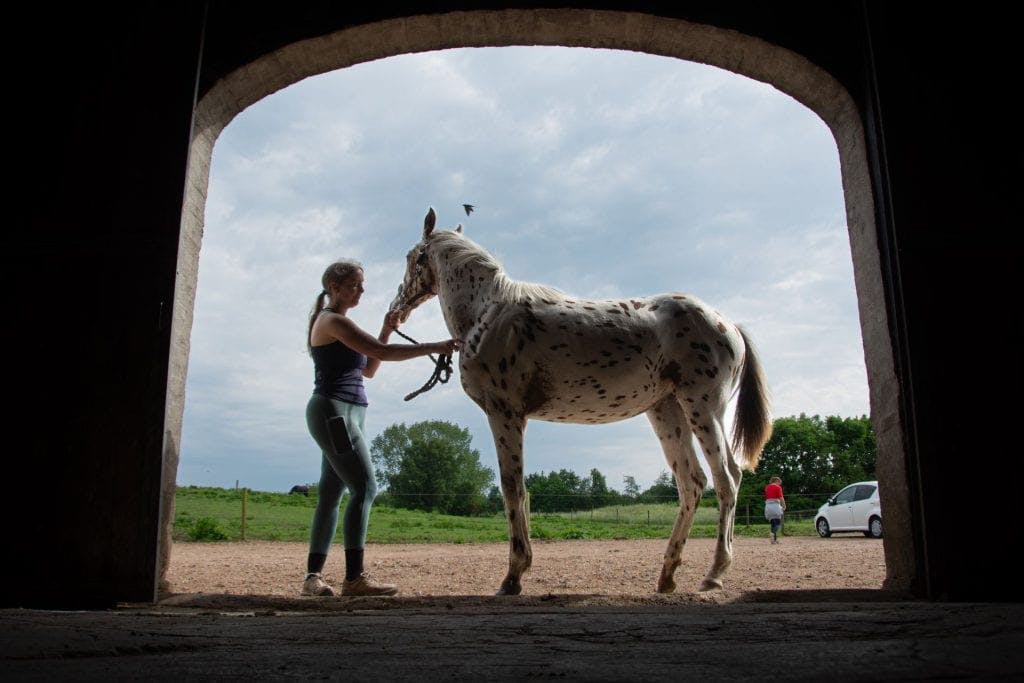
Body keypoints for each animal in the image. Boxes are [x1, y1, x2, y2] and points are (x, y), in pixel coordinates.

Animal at [387, 206, 770, 593]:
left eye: (411, 257)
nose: (395, 308)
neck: (487, 312)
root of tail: (729, 325)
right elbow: (520, 490)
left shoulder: (504, 413)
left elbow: (512, 488)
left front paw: (513, 576)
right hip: (667, 412)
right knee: (692, 484)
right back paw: (667, 575)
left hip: (703, 409)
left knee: (726, 479)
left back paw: (714, 573)